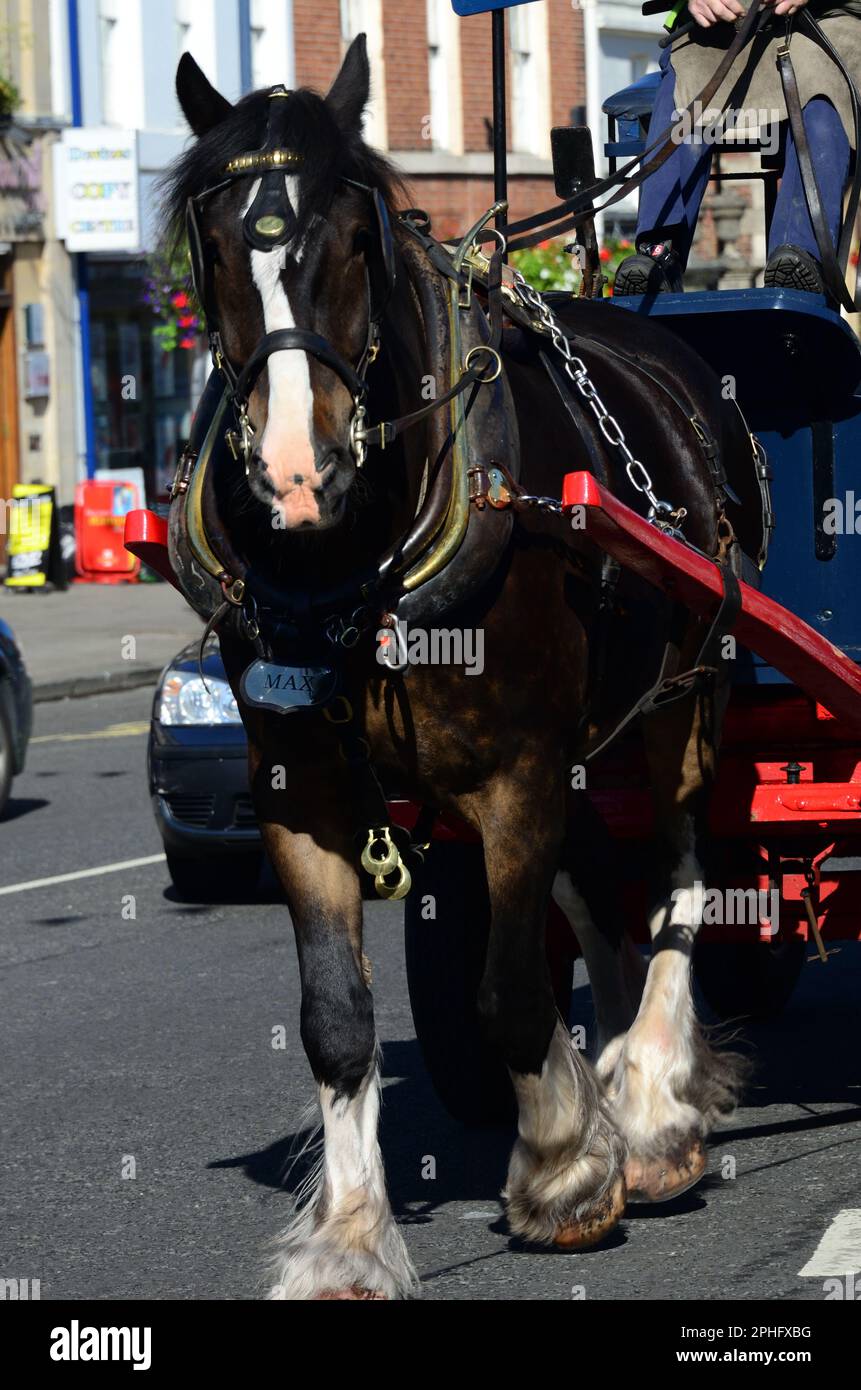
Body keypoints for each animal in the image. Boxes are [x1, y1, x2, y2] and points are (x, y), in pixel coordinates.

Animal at [164, 38, 762, 1295]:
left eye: (355, 235)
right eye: (218, 246)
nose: (297, 474)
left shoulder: (513, 769)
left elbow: (507, 988)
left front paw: (569, 1168)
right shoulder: (302, 783)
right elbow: (337, 1014)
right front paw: (347, 1238)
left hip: (688, 689)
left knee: (677, 874)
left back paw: (653, 1105)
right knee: (601, 890)